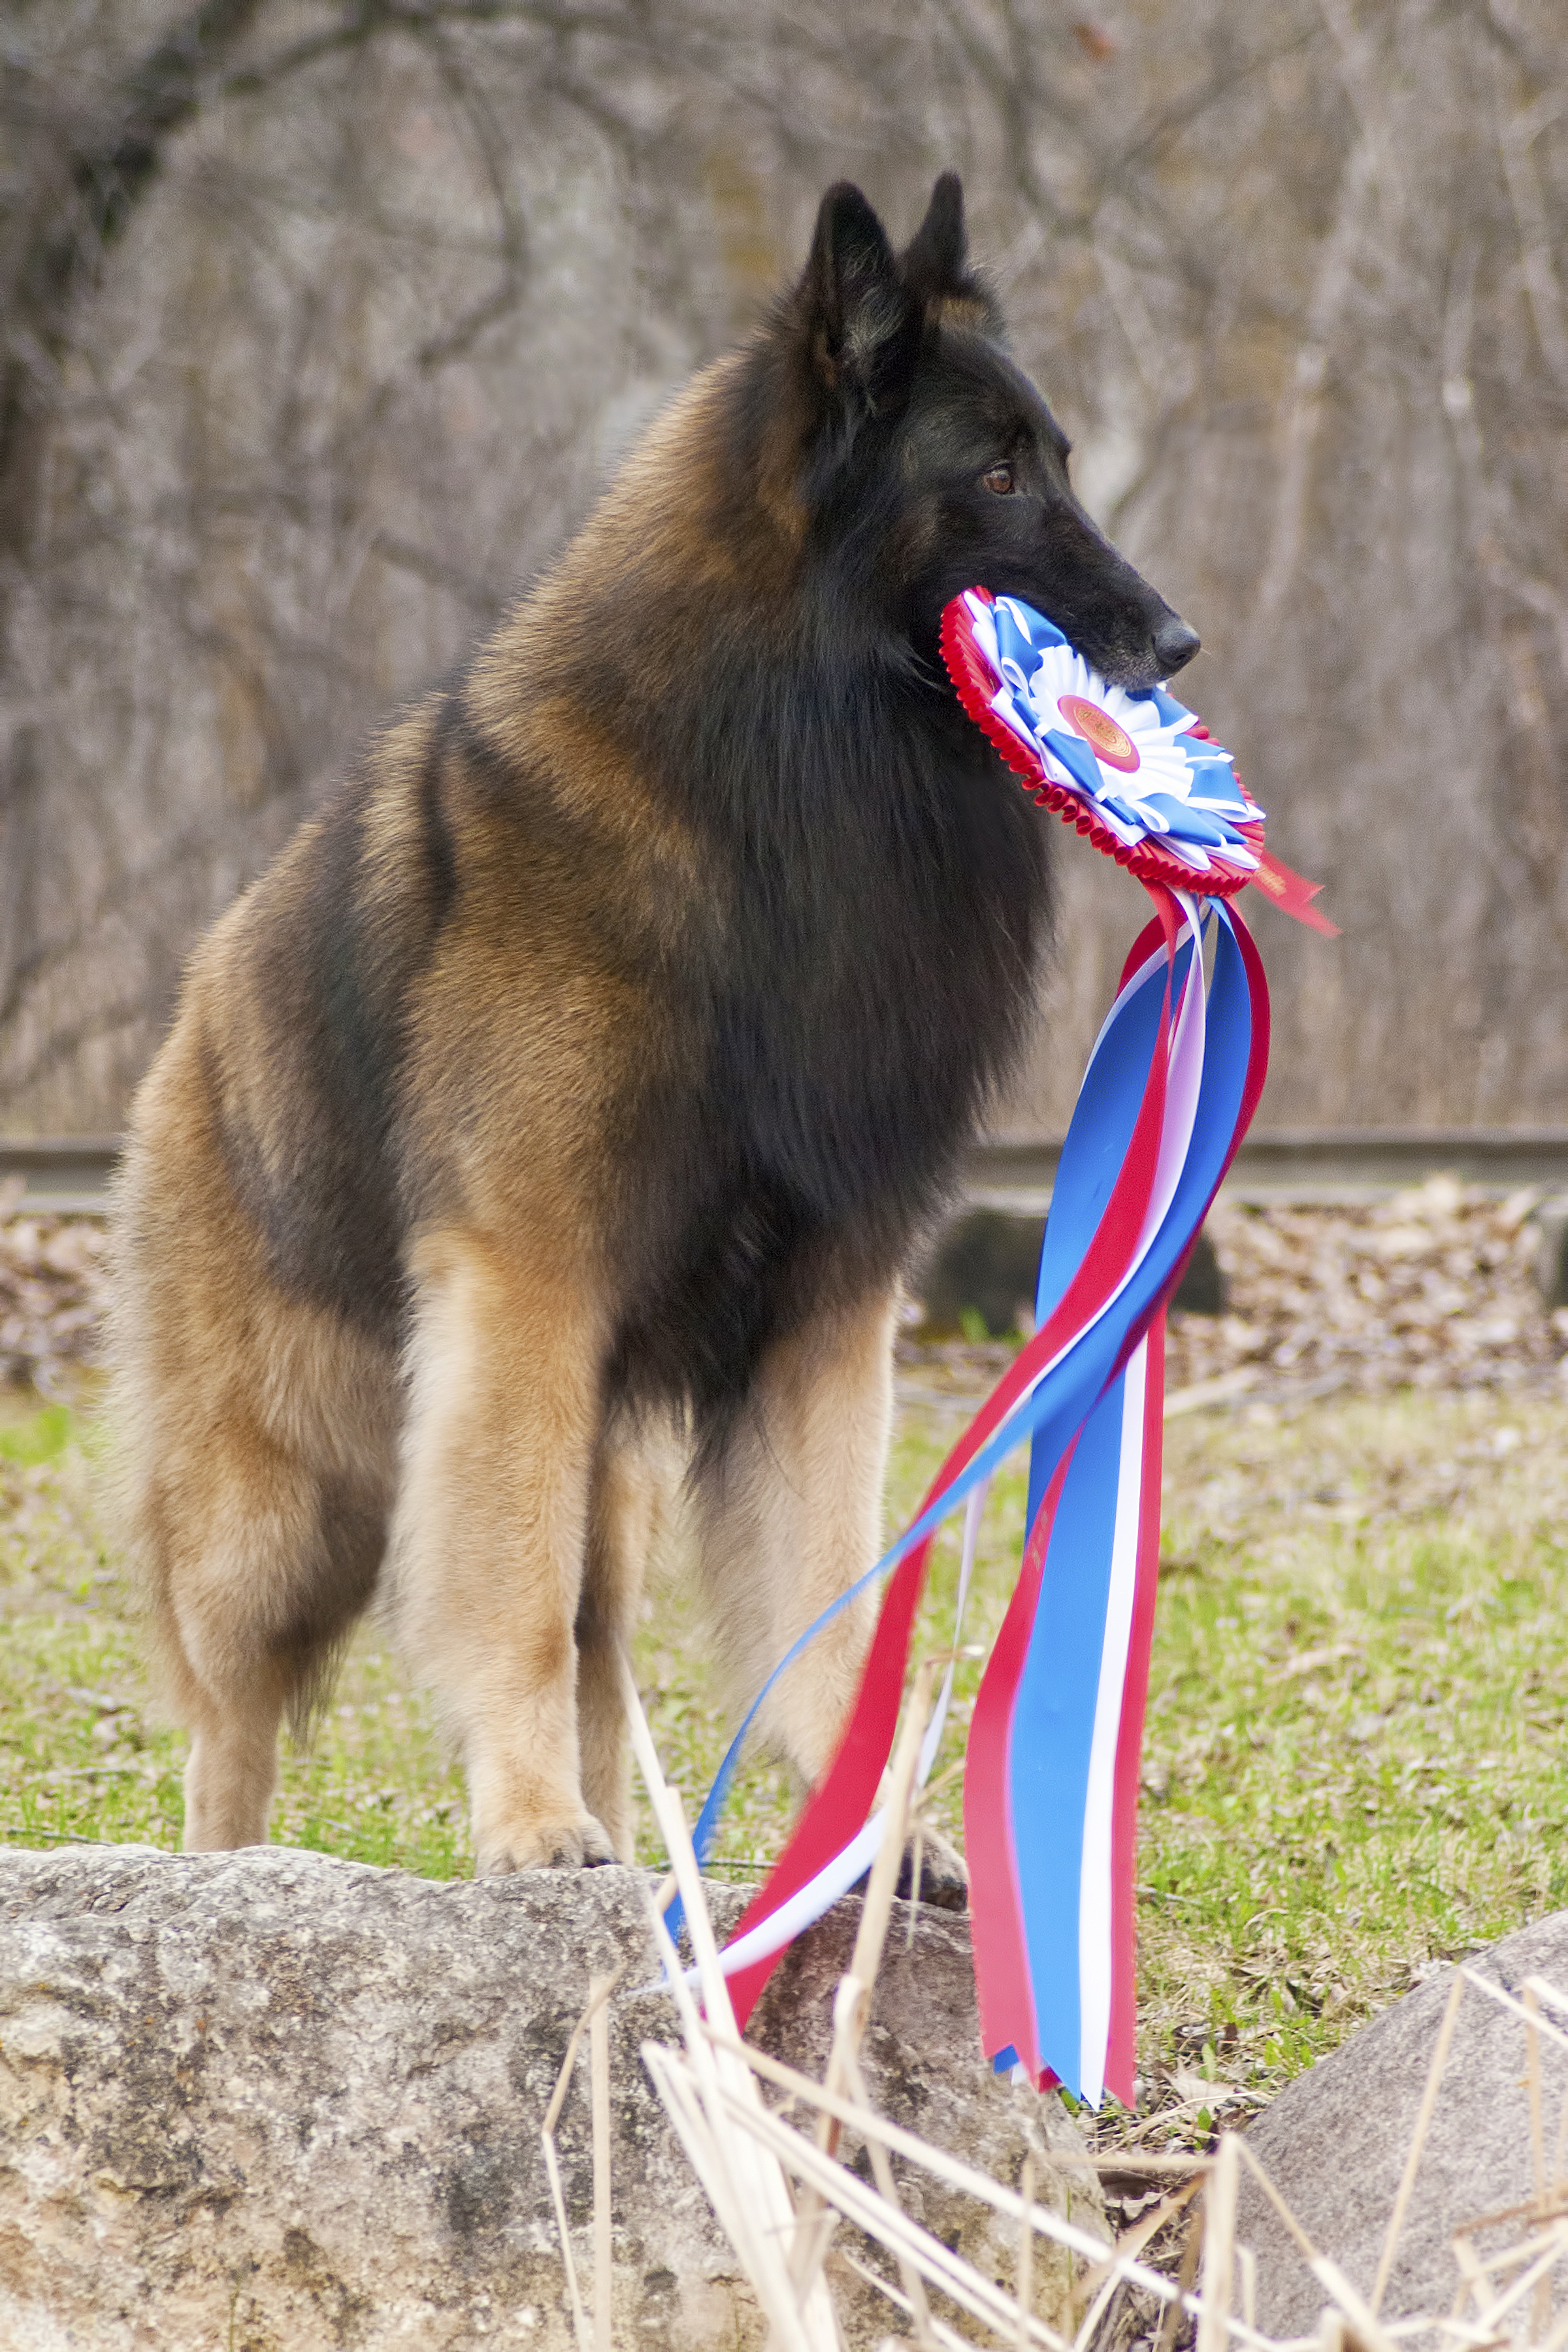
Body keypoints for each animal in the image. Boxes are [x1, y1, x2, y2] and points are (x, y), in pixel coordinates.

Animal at [113, 174, 1203, 1872]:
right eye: (996, 471)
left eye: (1060, 460)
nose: (1171, 645)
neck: (783, 768)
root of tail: (194, 1018)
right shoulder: (525, 1293)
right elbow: (507, 1593)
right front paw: (525, 1826)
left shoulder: (821, 1313)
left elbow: (817, 1604)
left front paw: (865, 1838)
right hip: (283, 1498)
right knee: (236, 1720)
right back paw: (227, 1880)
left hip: (595, 1461)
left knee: (601, 1642)